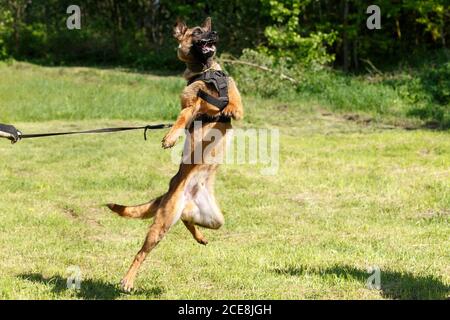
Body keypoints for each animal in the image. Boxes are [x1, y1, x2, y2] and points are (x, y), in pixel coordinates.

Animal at [107, 18, 244, 292]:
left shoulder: (234, 97)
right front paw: (170, 137)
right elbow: (185, 115)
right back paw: (127, 280)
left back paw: (200, 237)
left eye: (208, 30)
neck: (205, 71)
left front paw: (225, 108)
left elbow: (230, 103)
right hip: (162, 224)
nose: (214, 33)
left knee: (188, 220)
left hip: (212, 219)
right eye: (198, 32)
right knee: (141, 252)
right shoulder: (190, 104)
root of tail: (175, 192)